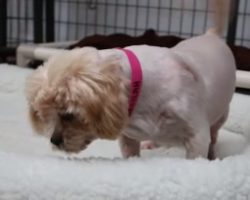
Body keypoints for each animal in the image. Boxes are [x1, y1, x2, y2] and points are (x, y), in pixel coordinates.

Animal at [25, 28, 236, 159]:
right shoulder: (128, 137)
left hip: (221, 116)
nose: (54, 141)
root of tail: (210, 34)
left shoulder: (197, 133)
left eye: (68, 115)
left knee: (214, 134)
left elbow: (197, 152)